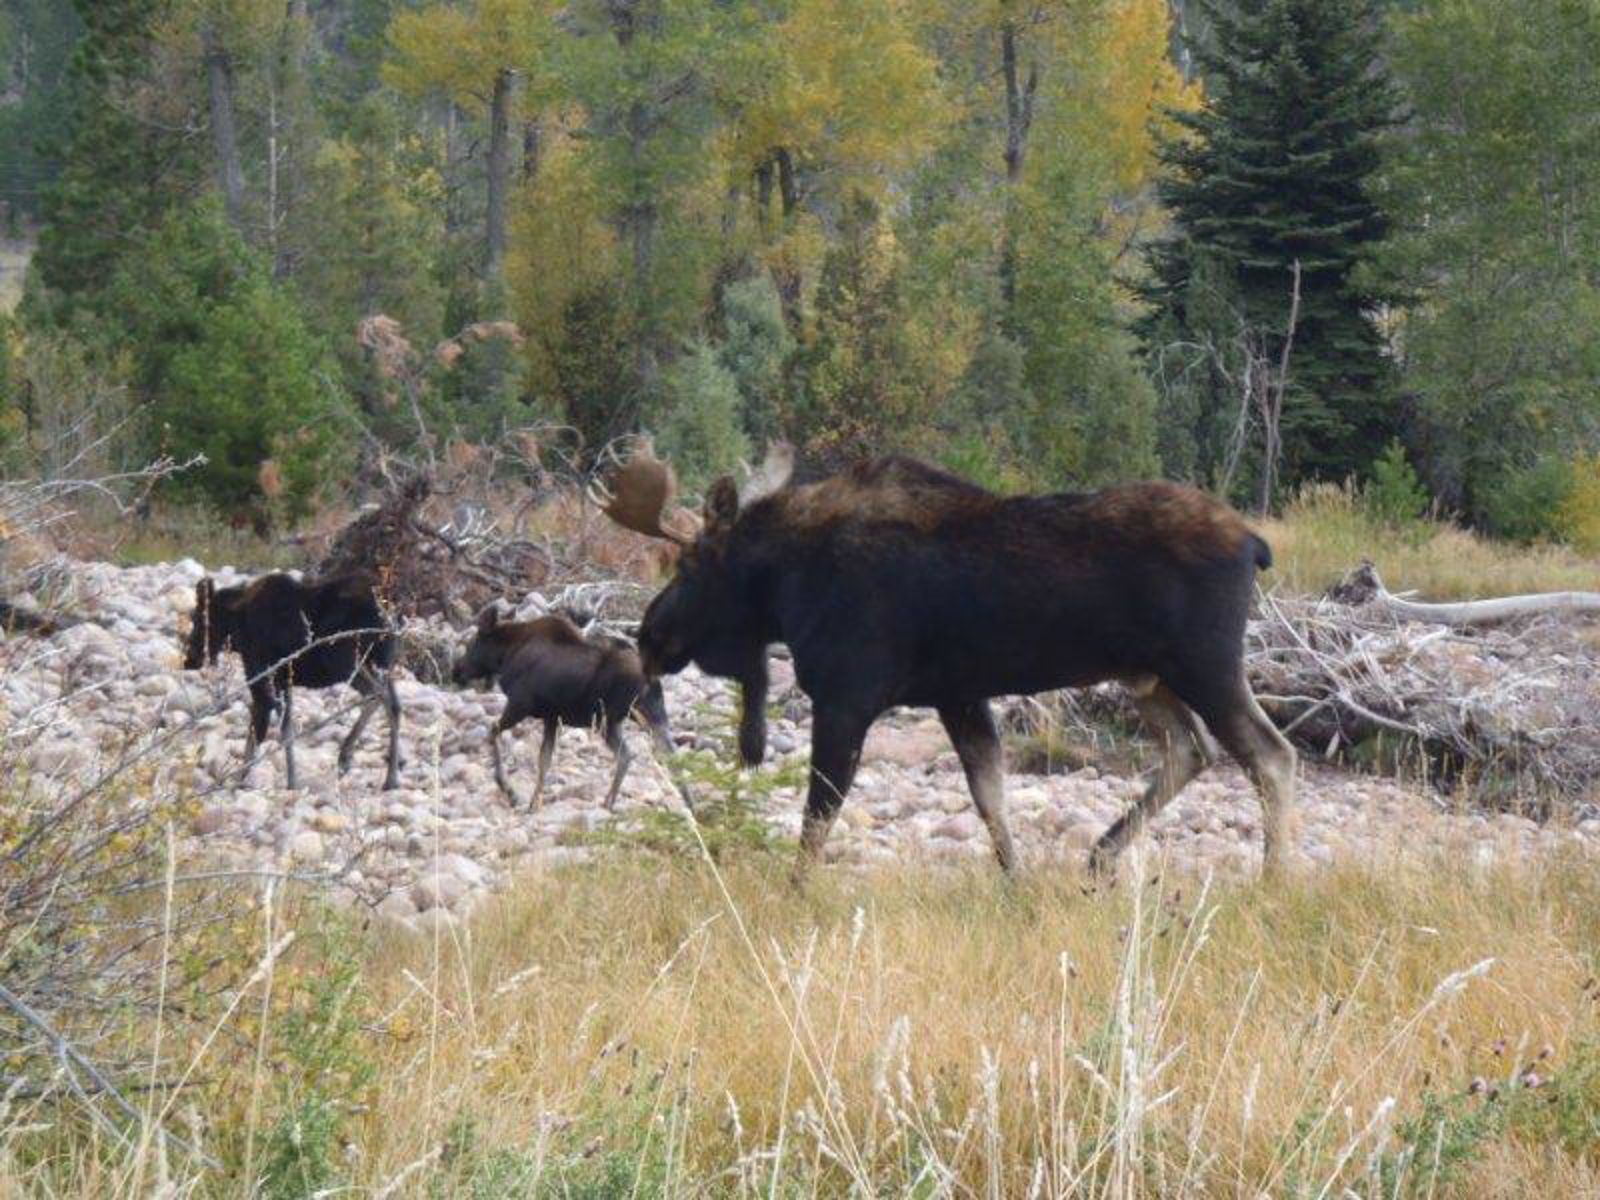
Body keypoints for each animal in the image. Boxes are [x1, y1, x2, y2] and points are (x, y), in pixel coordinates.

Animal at [183, 572, 402, 790]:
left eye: (196, 618)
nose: (189, 659)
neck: (235, 626)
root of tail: (390, 615)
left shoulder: (262, 676)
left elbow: (263, 731)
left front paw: (243, 780)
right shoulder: (282, 682)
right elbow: (277, 729)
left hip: (344, 660)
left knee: (378, 695)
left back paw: (348, 756)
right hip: (382, 663)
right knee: (394, 704)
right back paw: (389, 777)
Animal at [450, 606, 674, 810]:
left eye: (473, 643)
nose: (456, 670)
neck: (506, 656)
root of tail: (652, 677)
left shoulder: (519, 705)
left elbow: (493, 731)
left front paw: (509, 790)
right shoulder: (551, 717)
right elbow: (544, 760)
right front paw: (533, 803)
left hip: (618, 719)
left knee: (640, 753)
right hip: (634, 718)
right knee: (648, 754)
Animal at [590, 439, 1298, 884]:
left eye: (687, 566)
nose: (648, 637)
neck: (784, 584)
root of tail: (1255, 545)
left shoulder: (848, 694)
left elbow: (819, 813)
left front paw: (794, 893)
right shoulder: (958, 695)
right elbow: (991, 800)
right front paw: (1018, 890)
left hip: (1204, 662)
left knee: (1270, 754)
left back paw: (1272, 881)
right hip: (1146, 674)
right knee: (1192, 748)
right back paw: (1101, 856)